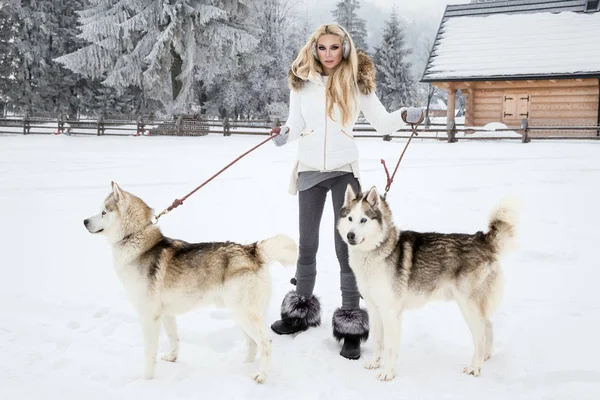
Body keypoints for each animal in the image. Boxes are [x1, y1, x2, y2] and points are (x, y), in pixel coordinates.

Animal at [83, 183, 298, 382]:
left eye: (103, 212)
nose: (84, 221)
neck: (135, 239)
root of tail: (252, 250)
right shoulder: (166, 314)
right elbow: (174, 339)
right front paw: (172, 358)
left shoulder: (149, 317)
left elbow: (149, 355)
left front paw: (146, 380)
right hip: (238, 314)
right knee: (252, 344)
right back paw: (241, 368)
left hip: (244, 314)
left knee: (265, 343)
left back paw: (261, 375)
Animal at [336, 186, 516, 382]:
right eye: (350, 218)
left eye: (364, 220)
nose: (350, 235)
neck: (375, 251)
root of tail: (482, 240)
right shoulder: (375, 310)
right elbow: (378, 341)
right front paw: (375, 363)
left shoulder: (391, 313)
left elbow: (390, 347)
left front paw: (388, 372)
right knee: (488, 325)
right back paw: (485, 356)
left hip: (468, 306)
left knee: (481, 335)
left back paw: (475, 367)